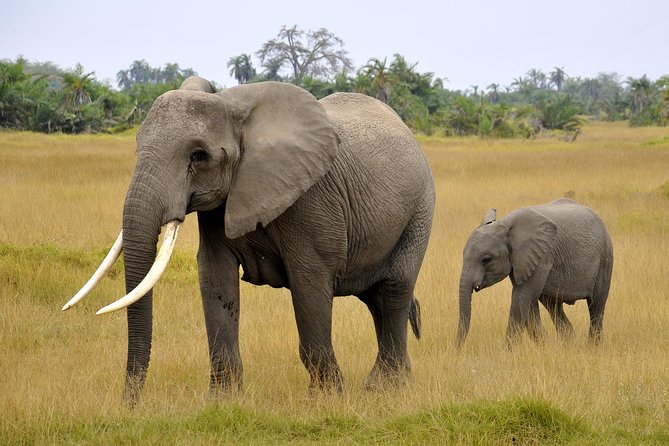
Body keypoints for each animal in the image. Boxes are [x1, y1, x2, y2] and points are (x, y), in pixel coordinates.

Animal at [64, 76, 435, 403]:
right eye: (138, 145)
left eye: (198, 156)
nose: (130, 403)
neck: (233, 108)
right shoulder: (220, 208)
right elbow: (215, 280)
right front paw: (222, 402)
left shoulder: (312, 199)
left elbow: (310, 285)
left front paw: (326, 400)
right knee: (376, 300)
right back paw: (387, 384)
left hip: (420, 211)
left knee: (394, 291)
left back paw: (386, 388)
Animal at [455, 198, 613, 348]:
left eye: (486, 259)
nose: (457, 350)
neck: (504, 225)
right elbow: (528, 302)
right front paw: (544, 347)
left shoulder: (541, 256)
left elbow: (522, 297)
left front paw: (508, 352)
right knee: (552, 305)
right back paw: (569, 344)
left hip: (605, 257)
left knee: (596, 305)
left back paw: (592, 347)